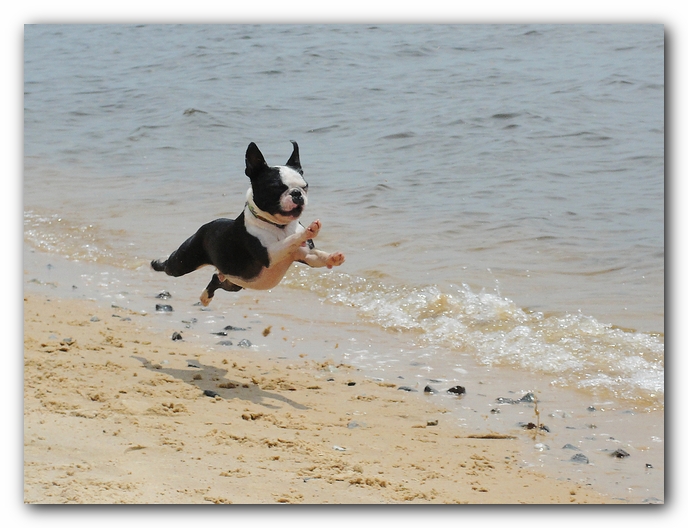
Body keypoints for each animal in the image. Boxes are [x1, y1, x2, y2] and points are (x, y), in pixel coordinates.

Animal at [150, 141, 344, 306]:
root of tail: (209, 224)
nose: (297, 193)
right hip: (184, 261)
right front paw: (309, 231)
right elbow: (289, 240)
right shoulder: (269, 254)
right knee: (170, 266)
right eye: (276, 187)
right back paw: (157, 263)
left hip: (235, 281)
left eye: (305, 186)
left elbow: (316, 256)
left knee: (216, 280)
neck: (279, 226)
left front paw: (333, 257)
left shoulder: (305, 255)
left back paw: (205, 297)